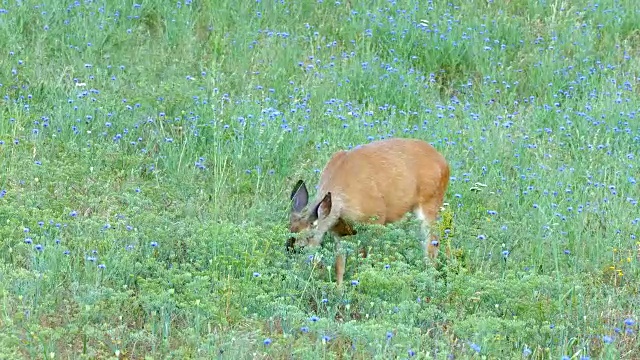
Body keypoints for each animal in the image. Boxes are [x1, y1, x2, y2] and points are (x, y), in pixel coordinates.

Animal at [284, 136, 450, 286]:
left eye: (303, 245)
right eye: (288, 239)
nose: (291, 269)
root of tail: (444, 162)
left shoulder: (377, 219)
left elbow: (364, 258)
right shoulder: (338, 231)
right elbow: (339, 265)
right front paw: (339, 291)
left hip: (431, 203)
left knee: (432, 244)